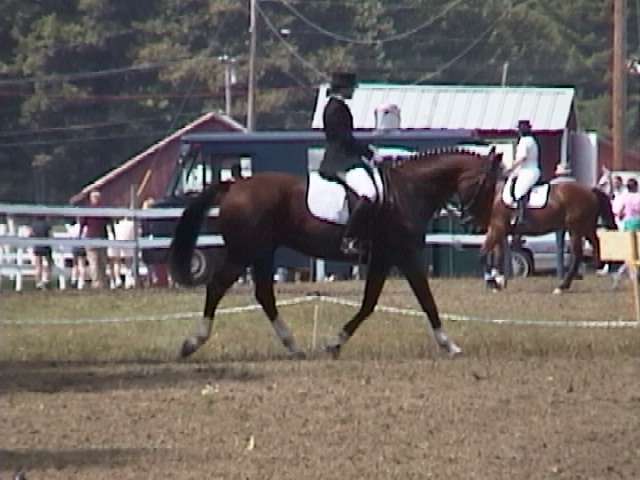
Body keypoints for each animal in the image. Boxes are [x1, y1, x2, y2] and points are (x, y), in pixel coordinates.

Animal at [169, 148, 504, 358]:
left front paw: (334, 344)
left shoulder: (384, 259)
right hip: (244, 253)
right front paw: (450, 345)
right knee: (217, 287)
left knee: (264, 295)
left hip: (262, 253)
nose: (478, 225)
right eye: (489, 186)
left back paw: (294, 347)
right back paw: (192, 343)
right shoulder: (404, 255)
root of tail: (234, 185)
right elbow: (426, 301)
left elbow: (369, 304)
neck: (408, 191)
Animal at [480, 180, 616, 292]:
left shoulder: (497, 228)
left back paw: (562, 287)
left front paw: (492, 283)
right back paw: (601, 269)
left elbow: (484, 255)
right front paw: (498, 282)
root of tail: (590, 191)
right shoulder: (497, 230)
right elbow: (497, 257)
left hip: (575, 229)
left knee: (578, 255)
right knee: (595, 243)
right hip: (585, 228)